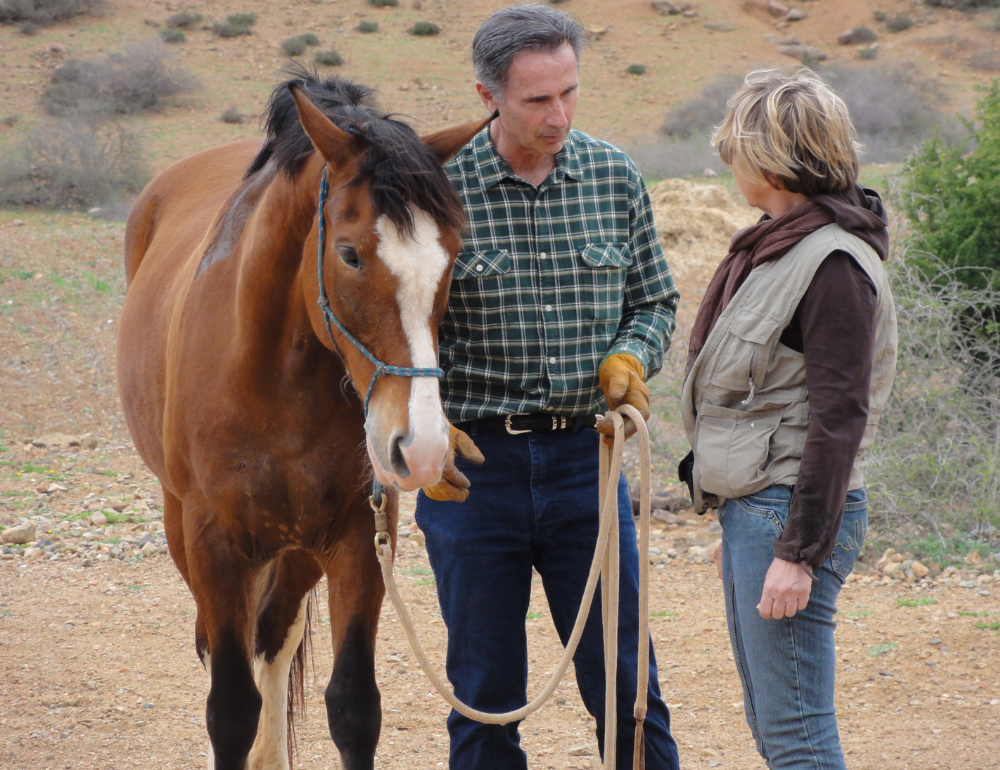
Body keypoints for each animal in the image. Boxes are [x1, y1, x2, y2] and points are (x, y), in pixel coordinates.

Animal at [115, 69, 490, 764]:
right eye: (349, 254)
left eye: (455, 254)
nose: (423, 447)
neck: (275, 384)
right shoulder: (214, 544)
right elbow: (230, 709)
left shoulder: (359, 536)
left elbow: (352, 707)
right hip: (186, 528)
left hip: (296, 551)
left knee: (273, 640)